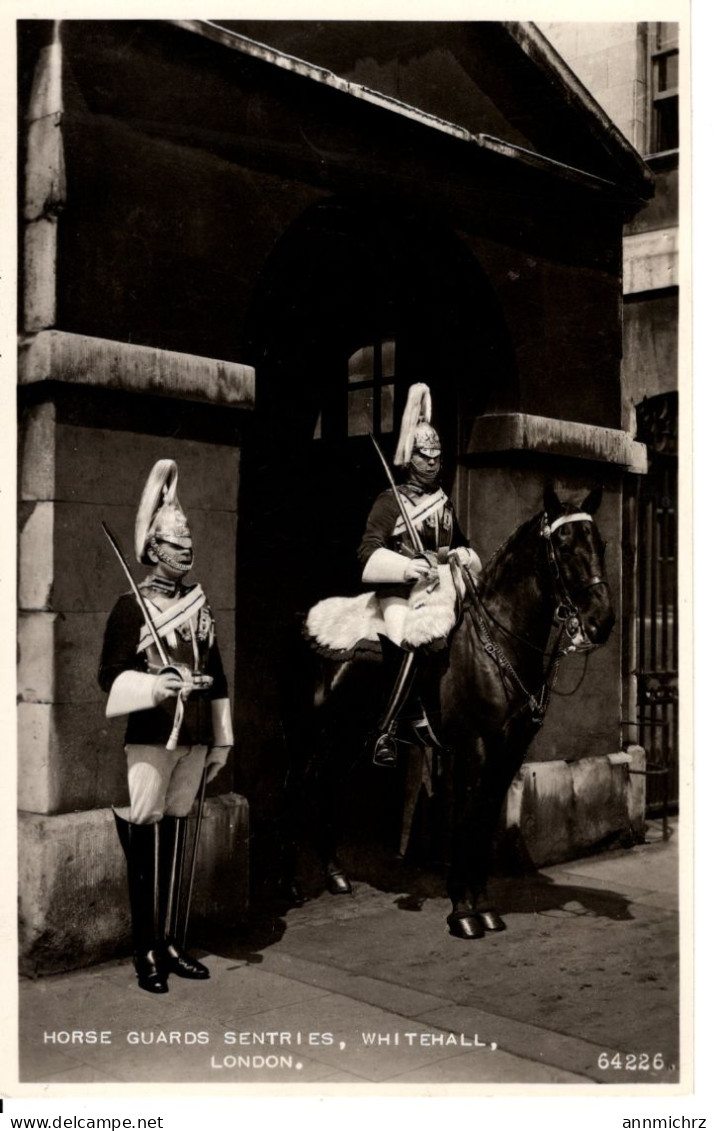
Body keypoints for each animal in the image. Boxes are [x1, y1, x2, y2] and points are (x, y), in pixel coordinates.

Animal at [279, 484, 615, 936]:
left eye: (600, 543)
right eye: (563, 545)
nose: (601, 621)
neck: (496, 644)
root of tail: (305, 619)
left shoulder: (508, 754)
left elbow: (484, 821)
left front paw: (482, 905)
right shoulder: (473, 749)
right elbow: (466, 820)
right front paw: (463, 912)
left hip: (347, 736)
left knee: (325, 786)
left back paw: (335, 876)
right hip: (308, 734)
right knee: (295, 789)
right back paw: (291, 886)